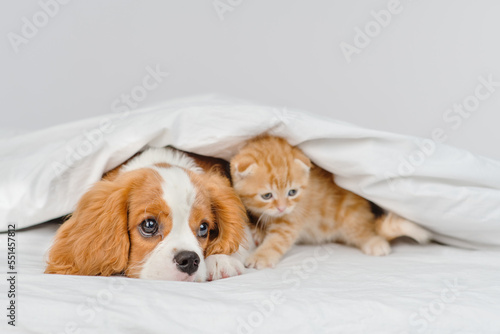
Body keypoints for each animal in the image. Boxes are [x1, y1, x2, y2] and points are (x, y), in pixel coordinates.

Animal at [230, 135, 430, 268]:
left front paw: (261, 257)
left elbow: (278, 239)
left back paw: (375, 243)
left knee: (364, 232)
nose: (282, 208)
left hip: (350, 217)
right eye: (267, 196)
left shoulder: (294, 217)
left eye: (292, 192)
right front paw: (258, 232)